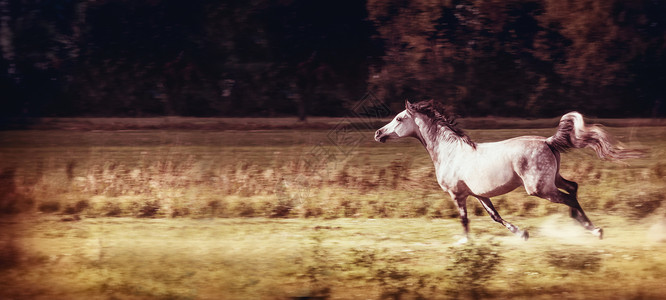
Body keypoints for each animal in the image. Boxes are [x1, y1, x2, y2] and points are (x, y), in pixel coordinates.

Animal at [374, 99, 640, 243]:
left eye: (399, 119)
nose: (378, 133)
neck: (450, 152)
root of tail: (547, 142)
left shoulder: (457, 195)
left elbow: (464, 219)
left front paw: (464, 241)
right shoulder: (480, 195)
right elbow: (495, 216)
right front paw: (521, 234)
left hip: (539, 188)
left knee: (568, 198)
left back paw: (594, 230)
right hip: (552, 179)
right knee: (573, 188)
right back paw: (586, 225)